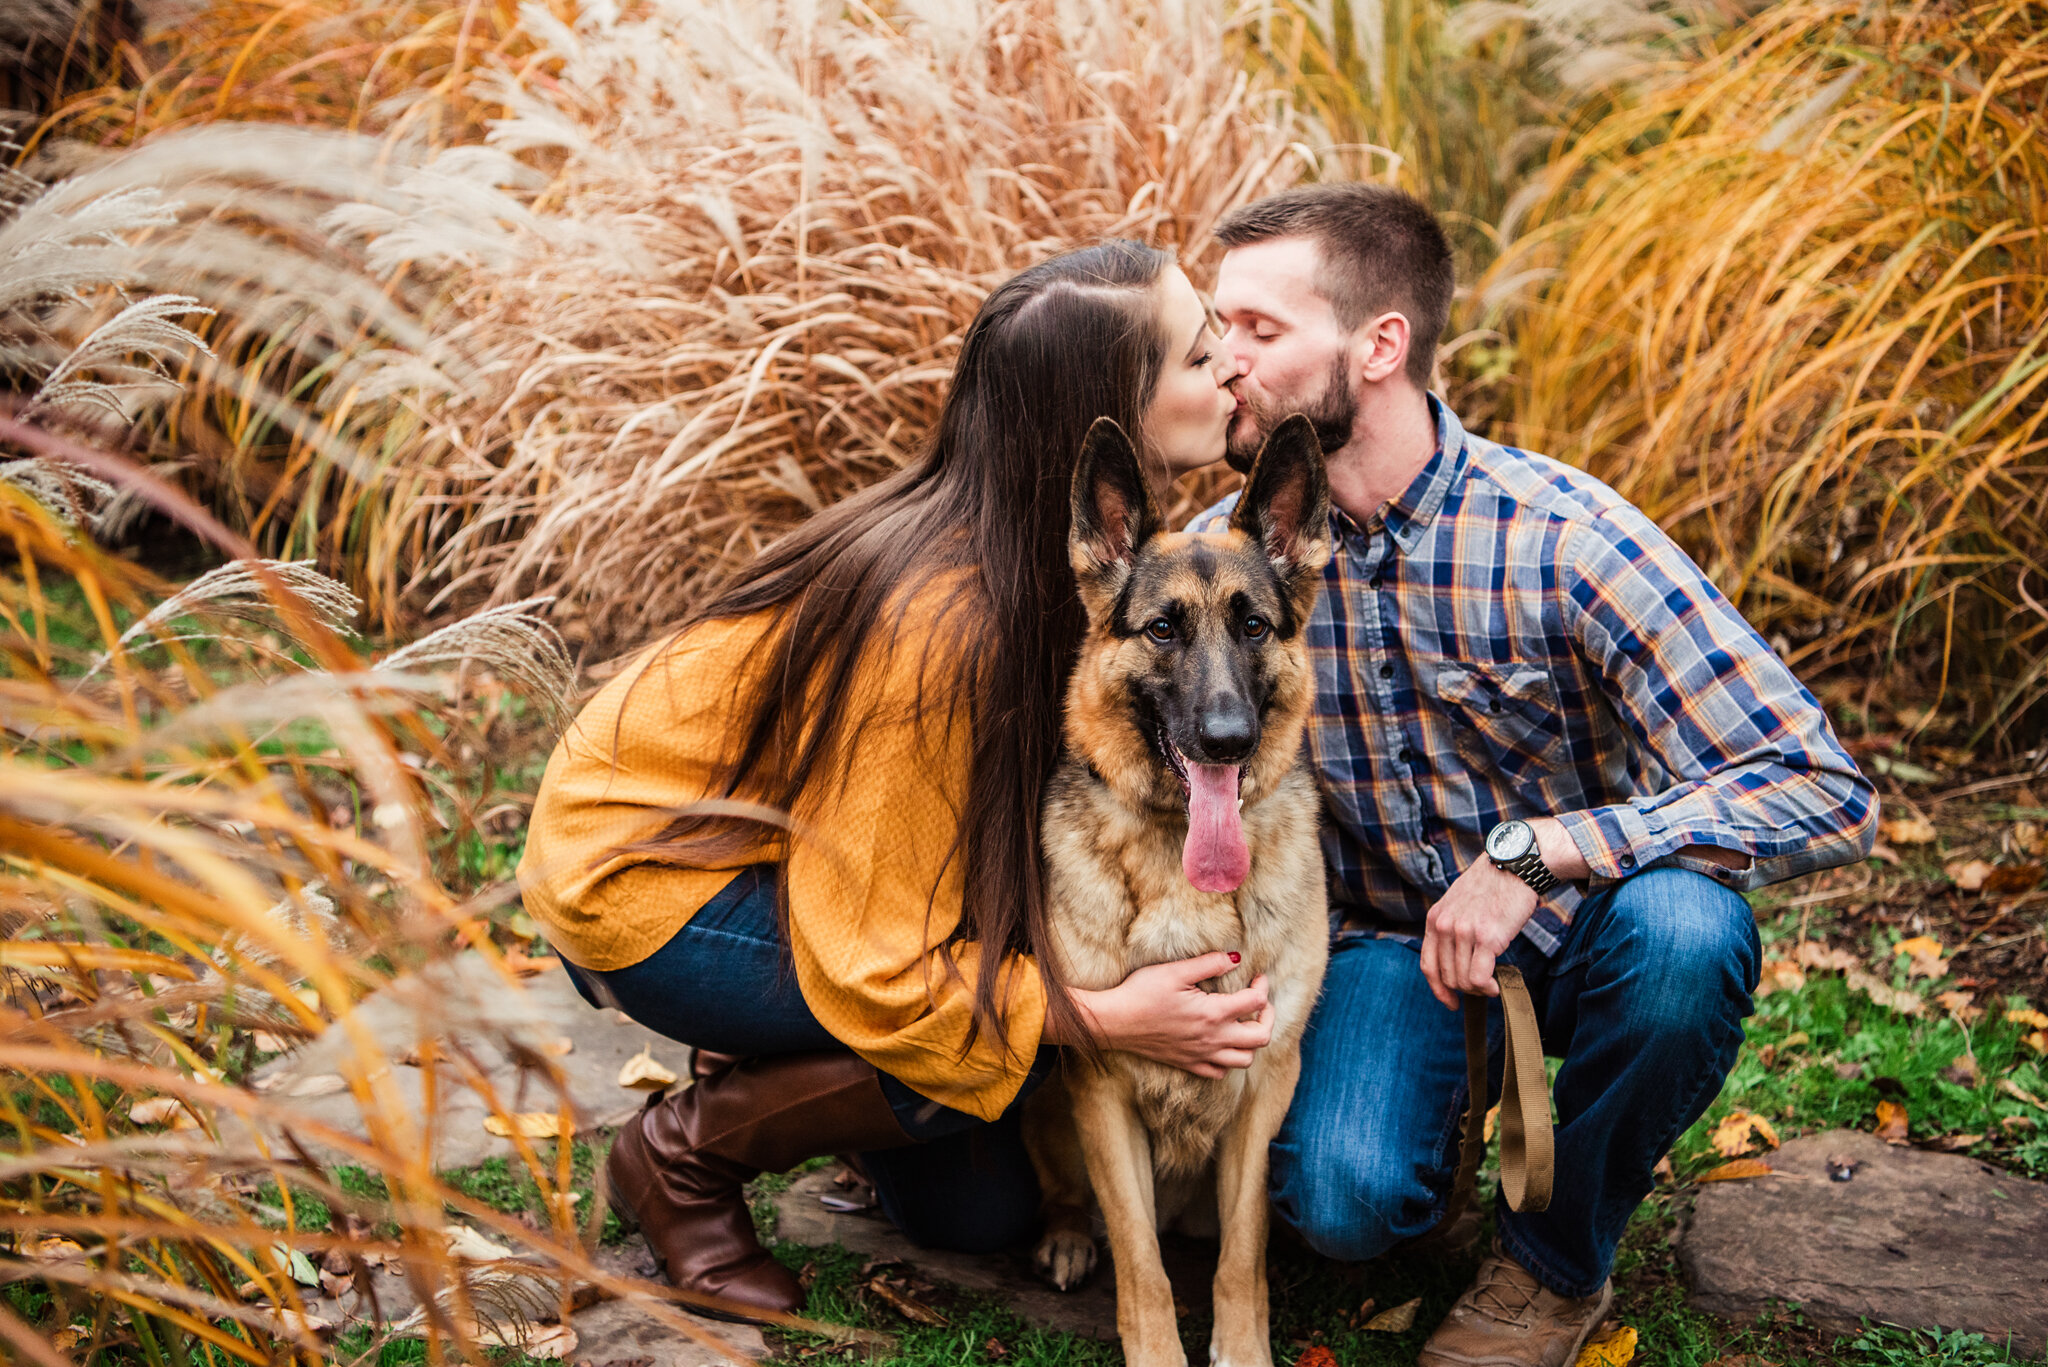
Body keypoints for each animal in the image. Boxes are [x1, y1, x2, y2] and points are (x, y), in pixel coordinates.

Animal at [1024, 413, 1343, 1367]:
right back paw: (1065, 1235)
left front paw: (1241, 1349)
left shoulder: (1265, 1086)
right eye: (1163, 630)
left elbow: (1243, 1255)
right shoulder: (1100, 1091)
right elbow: (1142, 1262)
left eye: (1254, 627)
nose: (1228, 739)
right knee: (1071, 1197)